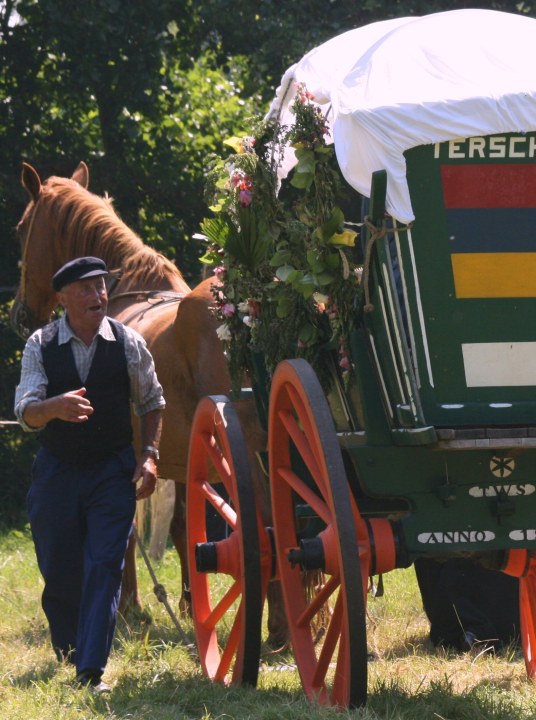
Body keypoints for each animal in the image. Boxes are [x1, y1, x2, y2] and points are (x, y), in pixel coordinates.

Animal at [10, 162, 286, 640]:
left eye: (23, 228)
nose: (21, 314)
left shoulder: (132, 457)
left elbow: (122, 536)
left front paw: (127, 609)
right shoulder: (178, 458)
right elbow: (182, 528)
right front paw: (189, 603)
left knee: (268, 523)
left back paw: (279, 629)